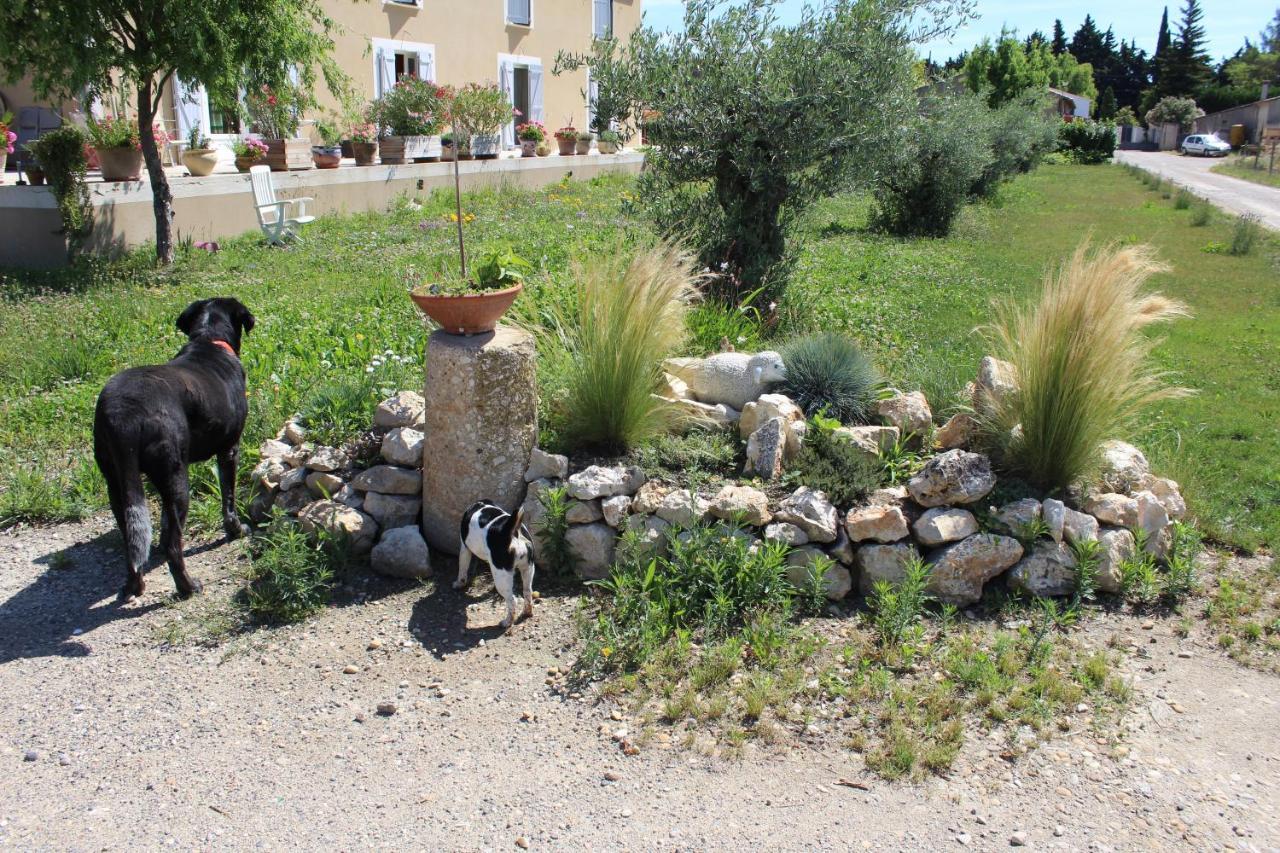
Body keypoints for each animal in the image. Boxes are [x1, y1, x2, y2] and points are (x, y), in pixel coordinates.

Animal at [90, 298, 257, 596]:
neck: (208, 340)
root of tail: (124, 416)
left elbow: (166, 523)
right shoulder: (229, 449)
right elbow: (228, 499)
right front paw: (236, 530)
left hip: (118, 484)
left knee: (131, 542)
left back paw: (135, 584)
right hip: (177, 477)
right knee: (173, 547)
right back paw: (188, 586)